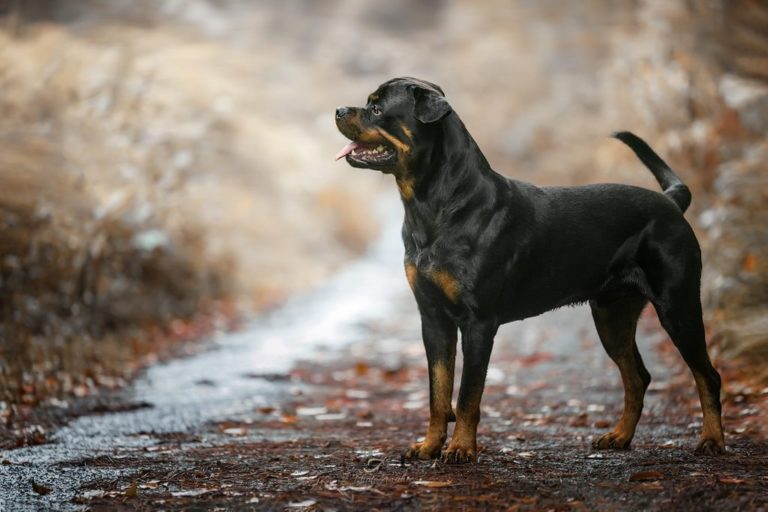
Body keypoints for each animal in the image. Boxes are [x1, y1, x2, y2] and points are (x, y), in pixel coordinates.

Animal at [332, 77, 724, 464]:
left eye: (377, 108)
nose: (338, 109)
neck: (435, 204)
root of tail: (671, 202)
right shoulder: (433, 319)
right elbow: (437, 393)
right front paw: (429, 445)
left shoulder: (478, 323)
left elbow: (468, 394)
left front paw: (461, 448)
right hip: (612, 314)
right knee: (637, 377)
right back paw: (619, 436)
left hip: (677, 306)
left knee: (707, 375)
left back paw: (711, 440)